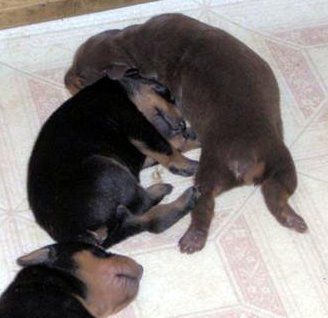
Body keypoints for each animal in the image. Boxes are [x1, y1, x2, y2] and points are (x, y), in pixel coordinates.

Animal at [28, 76, 199, 247]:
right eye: (170, 97)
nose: (183, 125)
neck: (124, 90)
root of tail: (78, 235)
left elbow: (173, 144)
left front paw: (193, 138)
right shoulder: (136, 123)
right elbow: (166, 146)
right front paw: (188, 164)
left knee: (142, 221)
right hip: (104, 167)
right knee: (141, 202)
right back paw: (165, 190)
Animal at [63, 13, 308, 255]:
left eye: (80, 79)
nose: (65, 79)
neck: (130, 45)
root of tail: (245, 166)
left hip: (218, 165)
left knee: (204, 204)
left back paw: (192, 238)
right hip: (279, 164)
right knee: (273, 192)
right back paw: (290, 219)